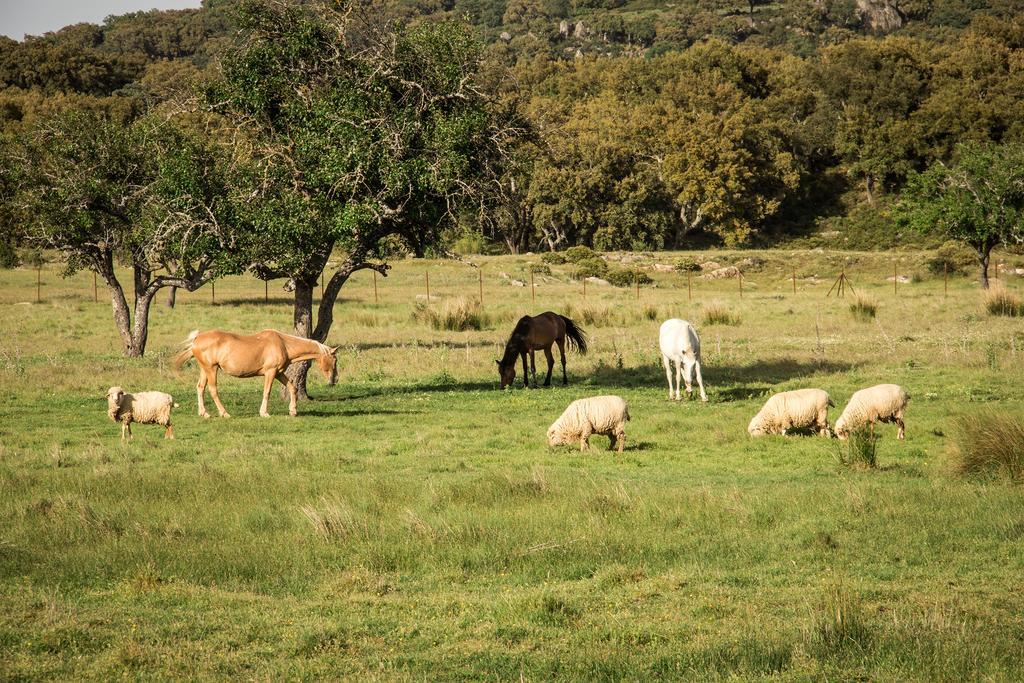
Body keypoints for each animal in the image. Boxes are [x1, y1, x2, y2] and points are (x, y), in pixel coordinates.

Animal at [174, 329, 337, 419]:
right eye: (334, 360)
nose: (333, 380)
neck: (283, 344)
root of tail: (196, 340)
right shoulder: (270, 372)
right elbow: (267, 392)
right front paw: (264, 413)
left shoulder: (278, 373)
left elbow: (292, 388)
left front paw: (293, 411)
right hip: (211, 369)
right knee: (213, 390)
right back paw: (224, 413)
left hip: (205, 370)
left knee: (200, 388)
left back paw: (204, 413)